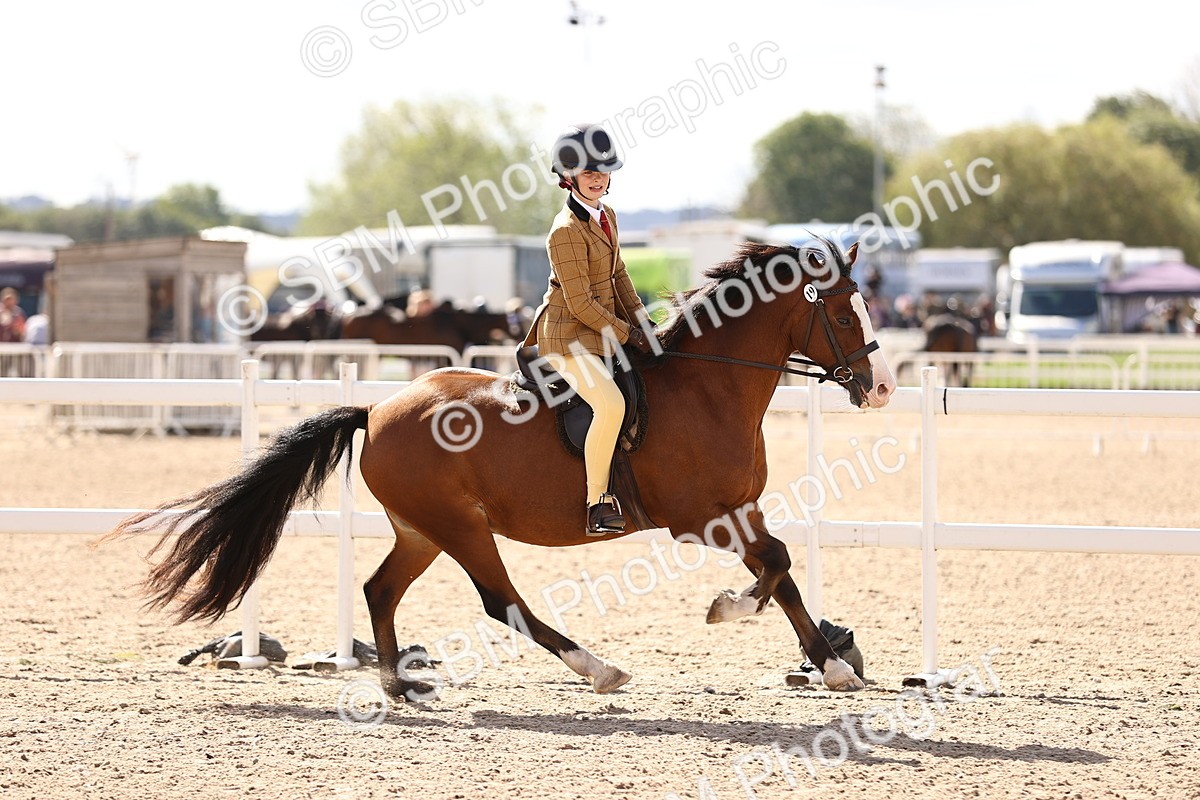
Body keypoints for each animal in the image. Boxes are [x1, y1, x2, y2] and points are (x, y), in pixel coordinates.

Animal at [103, 238, 895, 702]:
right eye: (843, 315)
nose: (882, 388)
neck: (708, 387)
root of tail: (377, 408)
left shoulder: (741, 509)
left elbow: (783, 569)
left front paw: (831, 664)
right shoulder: (698, 519)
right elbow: (775, 567)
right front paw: (730, 608)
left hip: (422, 529)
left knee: (380, 588)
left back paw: (396, 683)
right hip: (460, 528)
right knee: (501, 602)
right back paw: (597, 669)